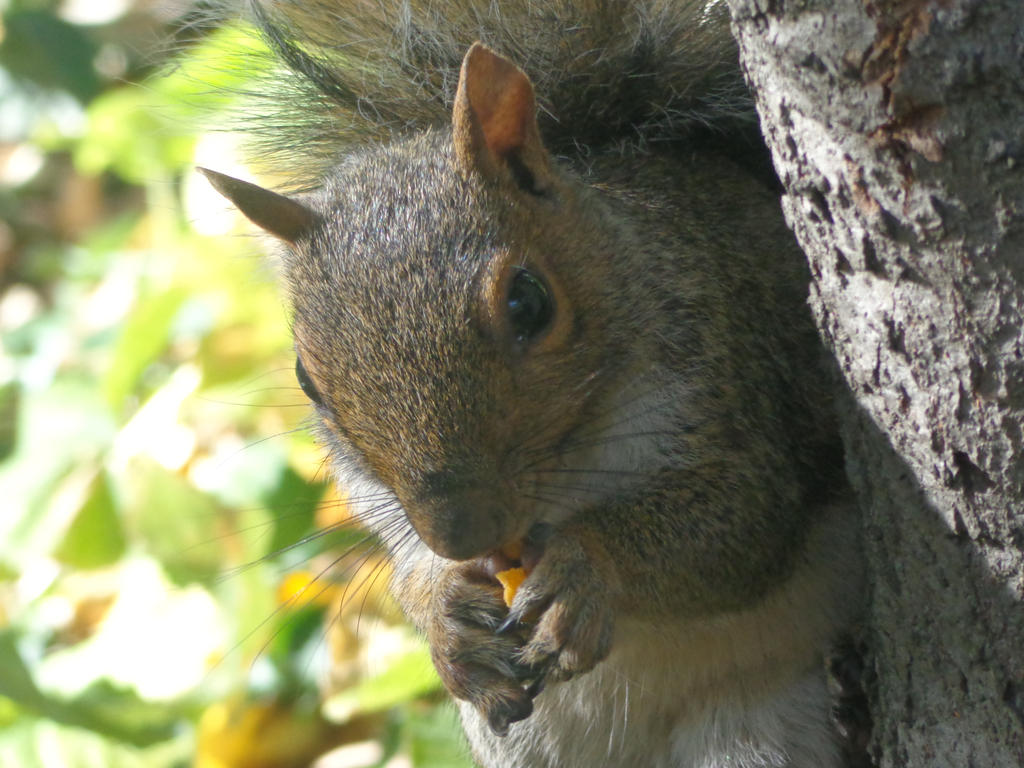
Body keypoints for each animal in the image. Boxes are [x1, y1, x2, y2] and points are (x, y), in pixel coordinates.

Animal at [195, 1, 860, 768]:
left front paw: (584, 570)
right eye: (307, 380)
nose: (461, 534)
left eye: (528, 303)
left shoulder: (740, 376)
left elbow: (739, 521)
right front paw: (441, 608)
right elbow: (403, 560)